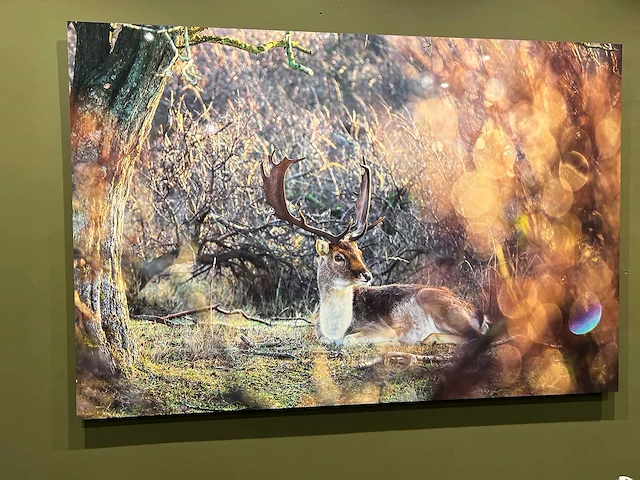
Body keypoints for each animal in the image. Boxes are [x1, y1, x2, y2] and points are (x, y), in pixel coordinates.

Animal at [261, 153, 491, 347]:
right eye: (338, 257)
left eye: (360, 252)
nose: (367, 275)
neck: (334, 329)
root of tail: (480, 314)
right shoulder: (321, 335)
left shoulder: (381, 328)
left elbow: (351, 340)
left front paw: (391, 342)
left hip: (437, 301)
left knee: (478, 336)